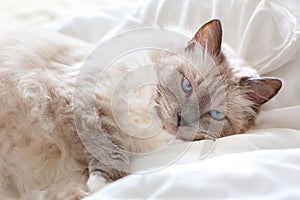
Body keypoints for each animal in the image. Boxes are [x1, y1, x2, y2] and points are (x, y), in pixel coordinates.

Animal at [0, 19, 282, 200]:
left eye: (215, 115)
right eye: (186, 85)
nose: (180, 120)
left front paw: (91, 189)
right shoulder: (86, 103)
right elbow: (110, 149)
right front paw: (104, 185)